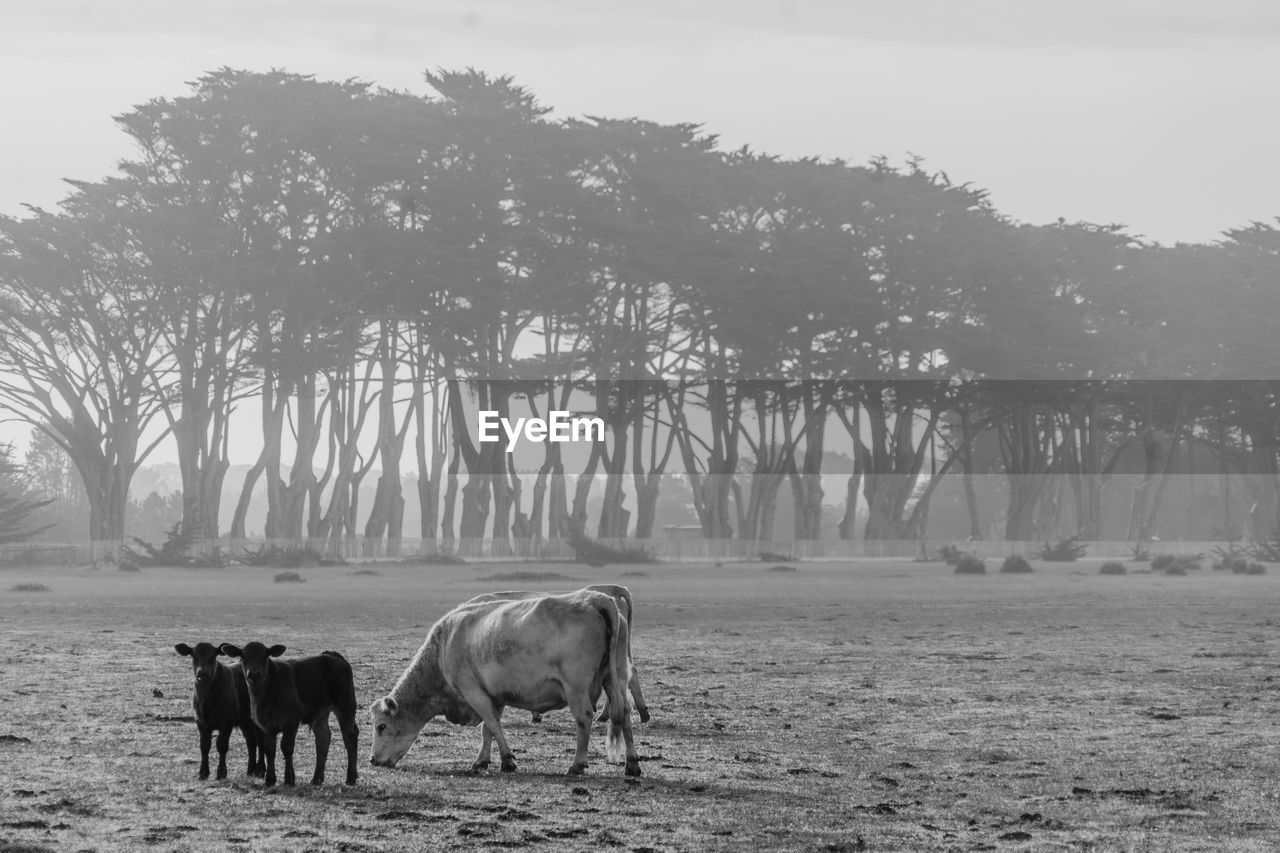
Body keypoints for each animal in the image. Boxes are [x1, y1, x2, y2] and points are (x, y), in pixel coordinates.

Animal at [174, 640, 263, 778]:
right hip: (245, 721)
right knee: (251, 741)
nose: (202, 672)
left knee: (260, 741)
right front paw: (203, 773)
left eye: (212, 657)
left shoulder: (226, 722)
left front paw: (221, 772)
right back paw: (250, 771)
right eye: (194, 657)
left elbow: (221, 745)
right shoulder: (200, 721)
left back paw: (260, 771)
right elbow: (204, 746)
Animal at [220, 637, 360, 783]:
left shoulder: (292, 721)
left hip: (346, 705)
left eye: (264, 657)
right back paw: (316, 779)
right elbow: (269, 749)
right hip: (321, 712)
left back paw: (351, 777)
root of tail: (332, 655)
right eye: (244, 657)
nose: (254, 674)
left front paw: (289, 778)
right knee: (323, 738)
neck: (265, 696)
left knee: (350, 735)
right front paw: (270, 779)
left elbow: (286, 747)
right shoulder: (264, 724)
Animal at [371, 589, 640, 773]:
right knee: (625, 714)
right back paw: (632, 764)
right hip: (615, 679)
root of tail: (595, 598)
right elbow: (488, 729)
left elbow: (492, 724)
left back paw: (577, 764)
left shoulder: (473, 691)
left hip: (577, 687)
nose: (372, 760)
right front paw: (482, 760)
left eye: (381, 727)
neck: (443, 647)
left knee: (584, 718)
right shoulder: (493, 695)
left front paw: (507, 760)